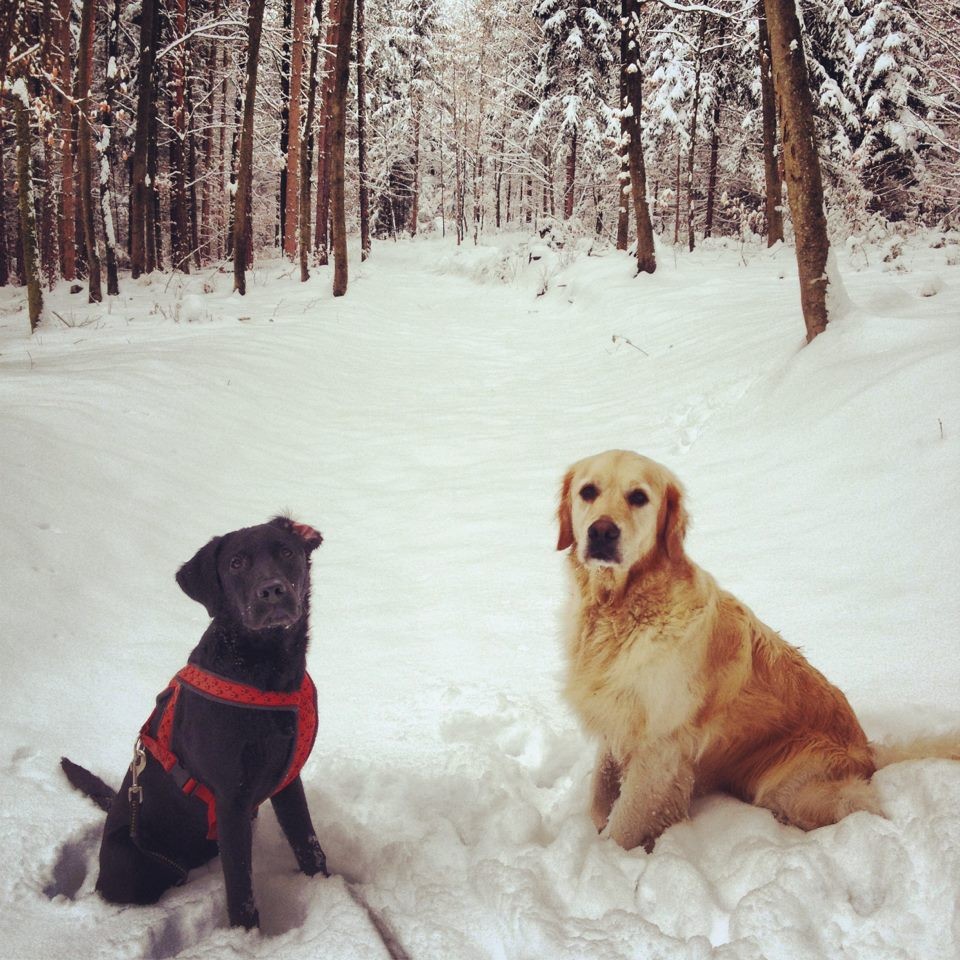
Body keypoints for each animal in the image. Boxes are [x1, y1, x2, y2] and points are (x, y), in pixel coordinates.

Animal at [63, 516, 328, 928]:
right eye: (236, 563)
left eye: (287, 552)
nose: (272, 591)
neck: (266, 672)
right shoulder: (231, 800)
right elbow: (241, 890)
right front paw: (247, 936)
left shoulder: (287, 781)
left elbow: (309, 845)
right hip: (129, 859)